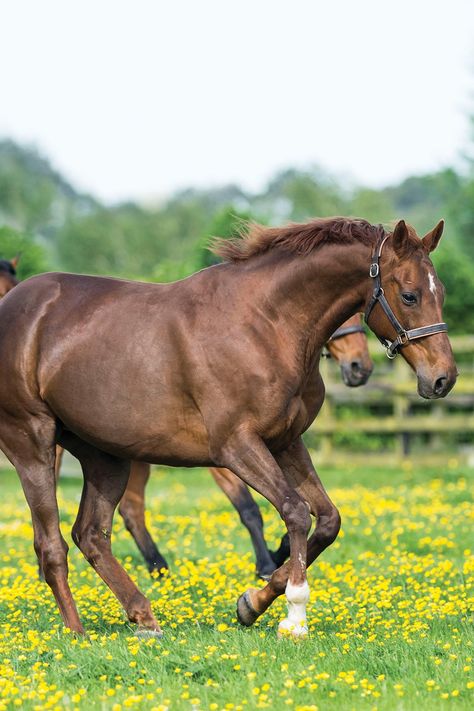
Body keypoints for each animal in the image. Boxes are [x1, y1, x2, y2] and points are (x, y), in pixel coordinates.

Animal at [0, 218, 456, 640]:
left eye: (441, 294)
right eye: (410, 294)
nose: (443, 379)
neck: (265, 325)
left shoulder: (286, 442)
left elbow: (327, 520)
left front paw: (251, 603)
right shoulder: (235, 447)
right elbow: (293, 511)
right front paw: (294, 616)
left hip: (105, 456)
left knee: (92, 535)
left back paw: (145, 618)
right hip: (32, 444)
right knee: (52, 544)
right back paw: (77, 632)